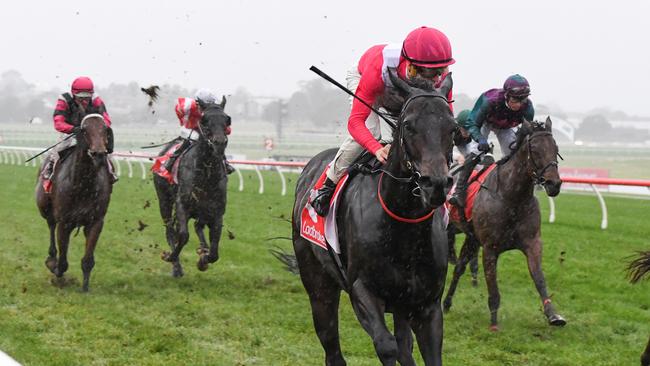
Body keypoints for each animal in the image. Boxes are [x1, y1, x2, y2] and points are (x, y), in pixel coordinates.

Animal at [35, 114, 112, 292]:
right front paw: (54, 267)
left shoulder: (96, 221)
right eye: (84, 130)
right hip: (44, 207)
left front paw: (85, 288)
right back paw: (51, 257)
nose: (99, 154)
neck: (84, 185)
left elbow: (88, 260)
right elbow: (62, 262)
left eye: (105, 129)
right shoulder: (65, 222)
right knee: (51, 225)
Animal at [154, 98, 229, 276]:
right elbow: (182, 235)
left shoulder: (217, 212)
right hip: (164, 201)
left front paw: (203, 259)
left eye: (227, 120)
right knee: (170, 230)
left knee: (196, 225)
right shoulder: (182, 205)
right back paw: (176, 267)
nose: (219, 143)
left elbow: (214, 252)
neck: (206, 174)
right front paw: (170, 257)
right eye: (204, 119)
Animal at [292, 71, 454, 366]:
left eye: (453, 127)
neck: (403, 227)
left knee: (404, 345)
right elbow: (386, 346)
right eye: (408, 125)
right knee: (332, 345)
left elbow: (421, 352)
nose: (435, 184)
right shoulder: (362, 291)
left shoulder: (426, 304)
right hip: (318, 283)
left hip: (401, 305)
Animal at [442, 118, 564, 330]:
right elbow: (493, 287)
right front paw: (493, 324)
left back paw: (447, 303)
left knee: (459, 268)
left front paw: (553, 314)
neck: (512, 197)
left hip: (472, 238)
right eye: (535, 149)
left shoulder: (532, 243)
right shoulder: (490, 248)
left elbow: (539, 278)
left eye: (555, 147)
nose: (553, 184)